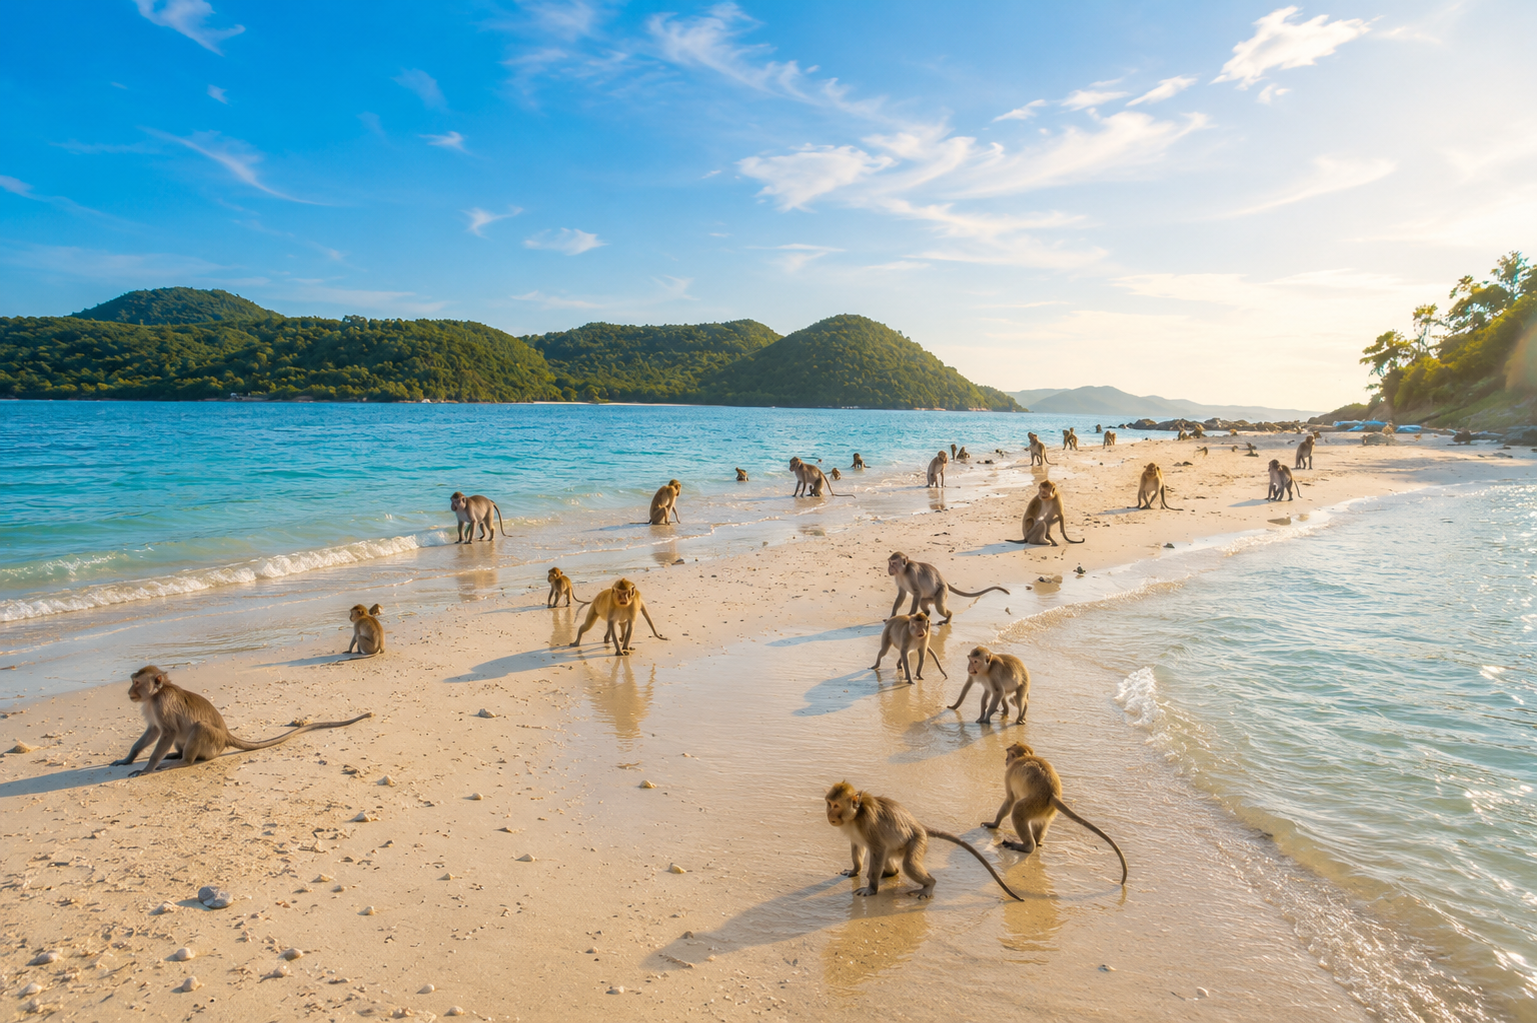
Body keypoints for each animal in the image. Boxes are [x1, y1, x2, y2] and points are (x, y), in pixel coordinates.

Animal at [112, 666, 371, 777]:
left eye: (136, 683)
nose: (128, 691)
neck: (156, 694)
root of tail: (226, 735)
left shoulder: (161, 704)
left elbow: (166, 732)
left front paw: (146, 768)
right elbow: (154, 731)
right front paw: (127, 759)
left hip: (213, 743)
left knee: (199, 727)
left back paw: (183, 761)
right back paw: (177, 754)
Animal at [825, 781, 1022, 901]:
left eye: (836, 805)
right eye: (829, 803)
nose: (829, 815)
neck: (855, 815)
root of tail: (919, 826)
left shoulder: (867, 822)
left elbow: (877, 848)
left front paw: (871, 888)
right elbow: (858, 846)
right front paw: (854, 870)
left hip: (917, 842)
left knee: (908, 864)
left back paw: (929, 885)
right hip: (899, 848)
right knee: (893, 862)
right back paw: (890, 872)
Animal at [983, 743, 1127, 885]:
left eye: (1008, 756)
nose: (1006, 760)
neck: (1025, 757)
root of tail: (1052, 794)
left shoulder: (1008, 774)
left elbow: (1010, 800)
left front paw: (994, 823)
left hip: (1035, 803)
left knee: (1017, 811)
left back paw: (1028, 846)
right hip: (1043, 809)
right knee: (1039, 822)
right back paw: (1036, 841)